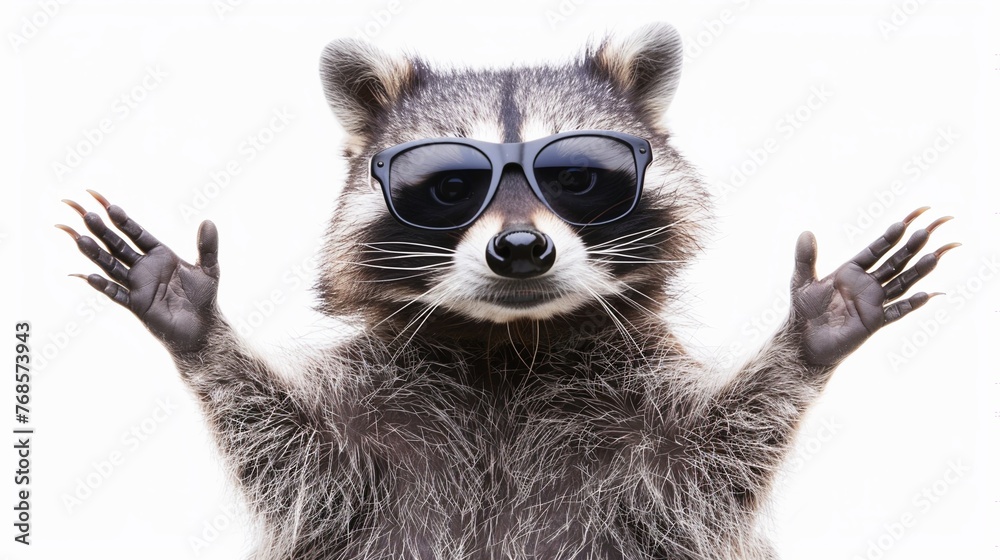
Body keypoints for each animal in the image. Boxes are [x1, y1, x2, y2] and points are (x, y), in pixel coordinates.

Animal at [58, 23, 956, 560]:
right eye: (451, 187)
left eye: (577, 178)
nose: (520, 249)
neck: (508, 345)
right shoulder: (367, 451)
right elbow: (298, 455)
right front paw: (199, 328)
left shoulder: (642, 452)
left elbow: (706, 464)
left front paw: (806, 338)